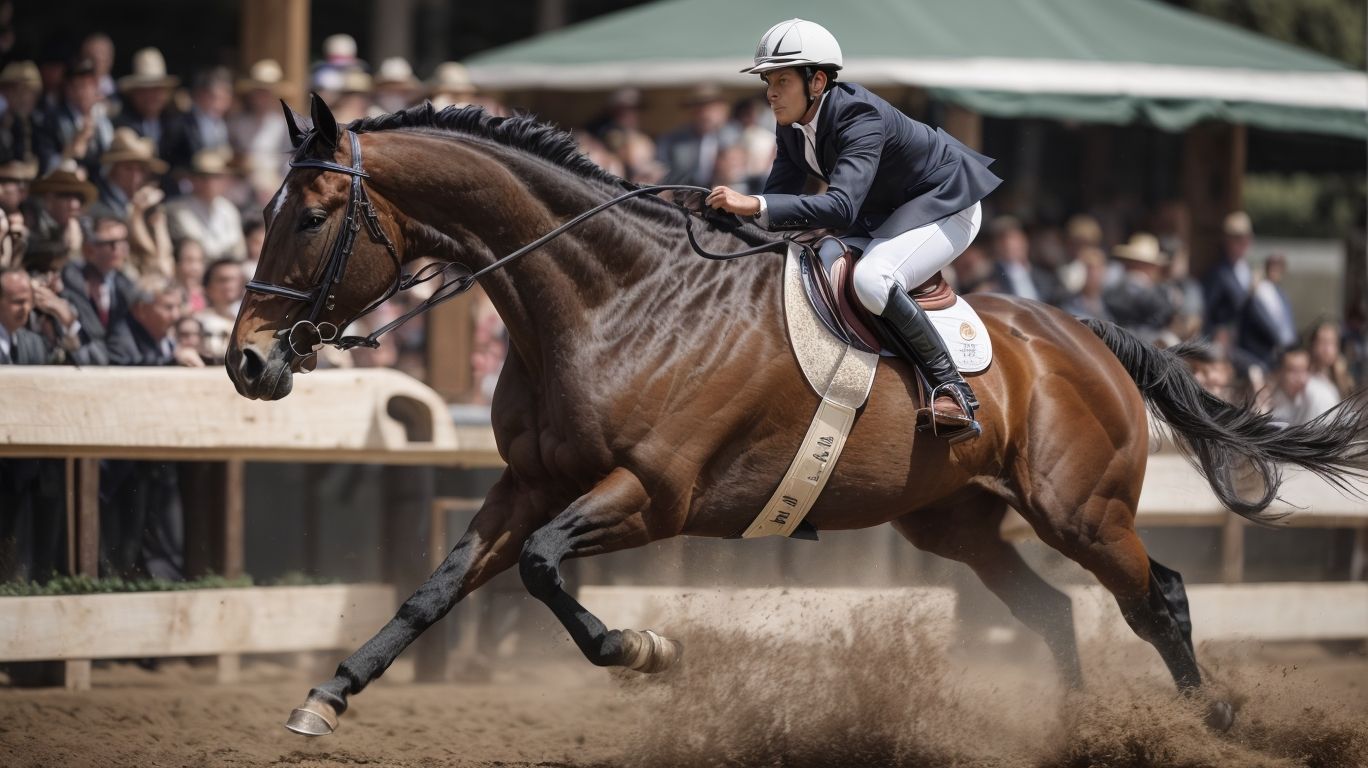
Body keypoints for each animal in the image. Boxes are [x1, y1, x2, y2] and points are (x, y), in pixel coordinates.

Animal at [226, 96, 1367, 738]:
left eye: (313, 216)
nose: (245, 361)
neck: (606, 300)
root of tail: (1084, 333)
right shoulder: (529, 482)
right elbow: (434, 591)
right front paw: (326, 698)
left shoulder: (654, 496)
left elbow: (547, 570)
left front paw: (649, 652)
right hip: (953, 523)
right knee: (1050, 611)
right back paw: (1077, 724)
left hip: (1081, 510)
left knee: (1156, 597)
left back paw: (1214, 715)